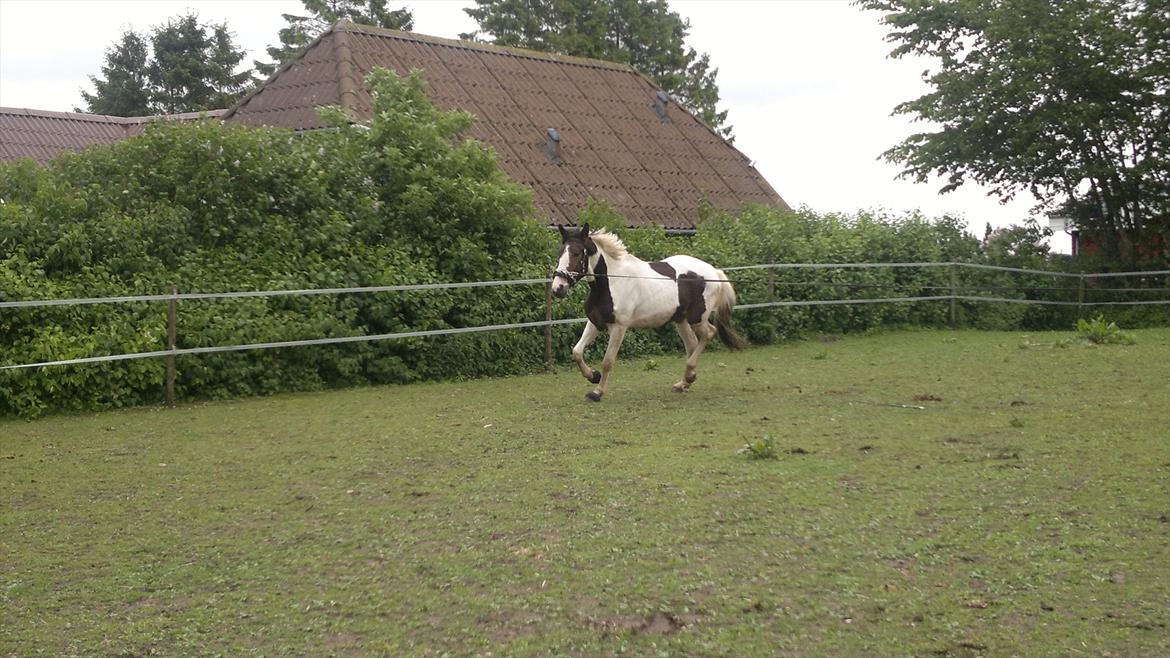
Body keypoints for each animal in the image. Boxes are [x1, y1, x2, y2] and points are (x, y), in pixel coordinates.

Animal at [552, 223, 744, 400]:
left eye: (577, 253)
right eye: (560, 252)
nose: (558, 288)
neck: (611, 282)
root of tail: (714, 272)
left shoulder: (619, 327)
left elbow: (608, 361)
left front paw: (597, 392)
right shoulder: (595, 323)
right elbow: (577, 352)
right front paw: (593, 376)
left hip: (697, 318)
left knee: (709, 333)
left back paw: (689, 376)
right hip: (681, 320)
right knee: (692, 343)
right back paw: (684, 382)